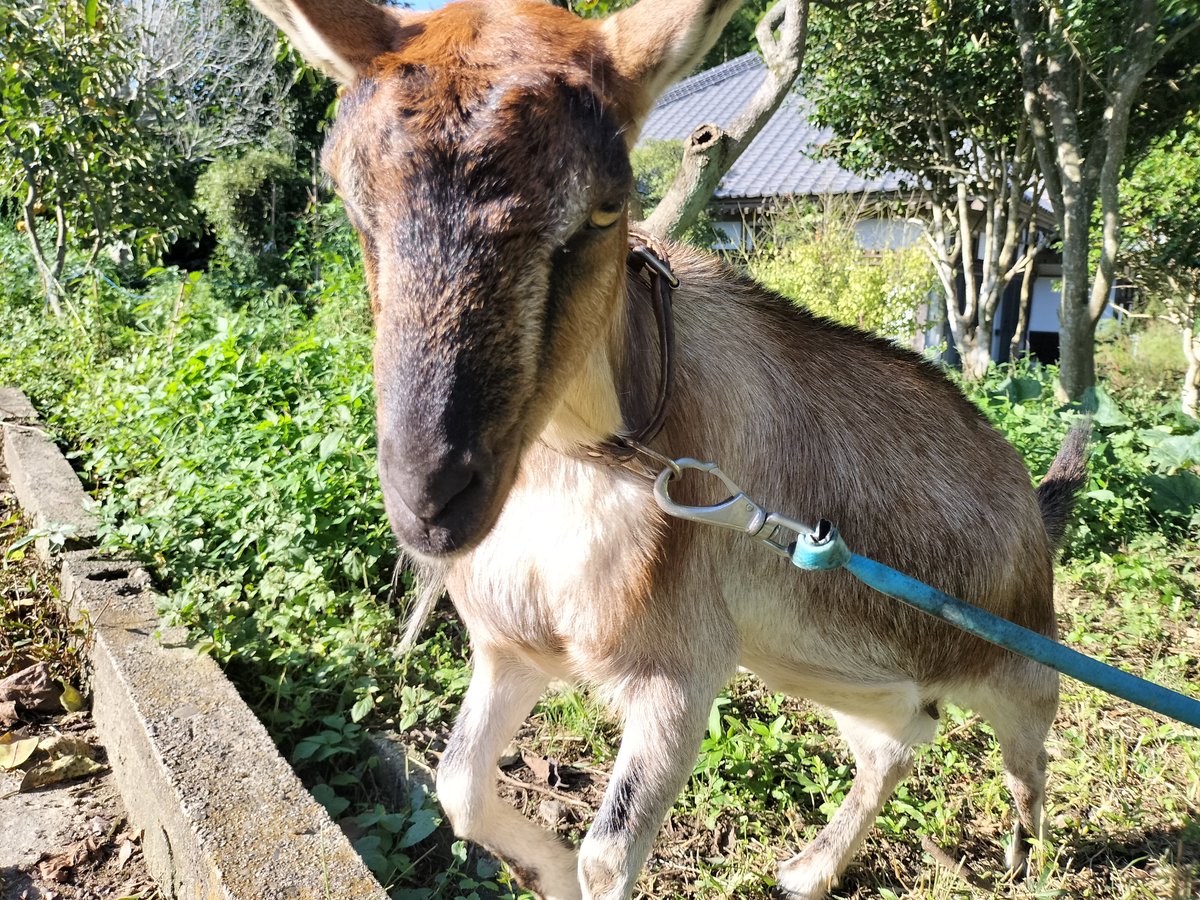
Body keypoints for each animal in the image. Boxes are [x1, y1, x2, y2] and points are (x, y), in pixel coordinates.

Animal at [248, 0, 1088, 896]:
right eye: (349, 199)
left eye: (605, 207)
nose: (432, 502)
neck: (577, 467)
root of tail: (1032, 504)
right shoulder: (512, 648)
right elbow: (458, 786)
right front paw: (545, 869)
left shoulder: (679, 677)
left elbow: (609, 854)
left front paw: (571, 868)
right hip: (830, 666)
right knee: (899, 739)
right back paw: (810, 870)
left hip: (1015, 662)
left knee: (1030, 751)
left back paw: (1025, 855)